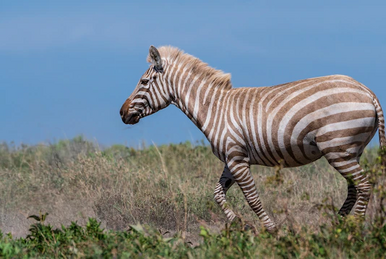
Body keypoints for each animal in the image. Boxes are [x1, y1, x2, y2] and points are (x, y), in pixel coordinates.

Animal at [119, 45, 384, 234]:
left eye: (143, 82)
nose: (122, 113)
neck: (214, 108)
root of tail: (367, 91)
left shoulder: (237, 159)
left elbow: (253, 199)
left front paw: (272, 231)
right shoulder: (231, 158)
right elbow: (217, 194)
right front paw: (241, 225)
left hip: (337, 148)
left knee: (363, 186)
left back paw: (355, 230)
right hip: (349, 151)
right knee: (354, 189)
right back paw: (337, 226)